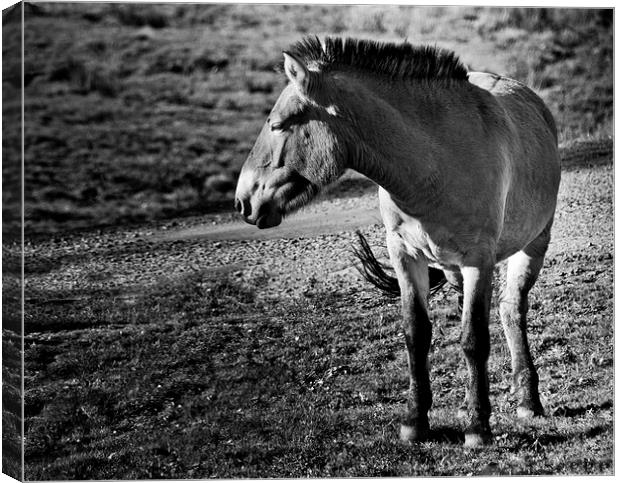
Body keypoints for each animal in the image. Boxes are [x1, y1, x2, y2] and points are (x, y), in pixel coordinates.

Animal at [234, 37, 560, 450]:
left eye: (277, 125)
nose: (243, 201)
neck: (434, 162)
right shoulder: (406, 256)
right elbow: (415, 334)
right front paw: (415, 422)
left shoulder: (478, 260)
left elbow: (473, 339)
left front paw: (476, 427)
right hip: (453, 269)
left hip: (532, 246)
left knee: (511, 311)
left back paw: (528, 401)